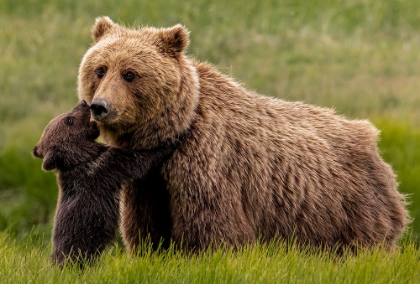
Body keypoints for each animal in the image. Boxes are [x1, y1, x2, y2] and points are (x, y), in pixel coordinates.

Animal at [32, 100, 176, 266]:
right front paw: (169, 143)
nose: (83, 103)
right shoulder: (107, 166)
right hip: (82, 243)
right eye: (69, 119)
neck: (82, 157)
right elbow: (138, 160)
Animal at [77, 17, 408, 253]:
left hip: (350, 208)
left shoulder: (208, 165)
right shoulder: (149, 180)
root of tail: (372, 138)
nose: (100, 106)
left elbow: (214, 231)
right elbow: (147, 231)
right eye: (100, 69)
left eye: (130, 73)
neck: (174, 133)